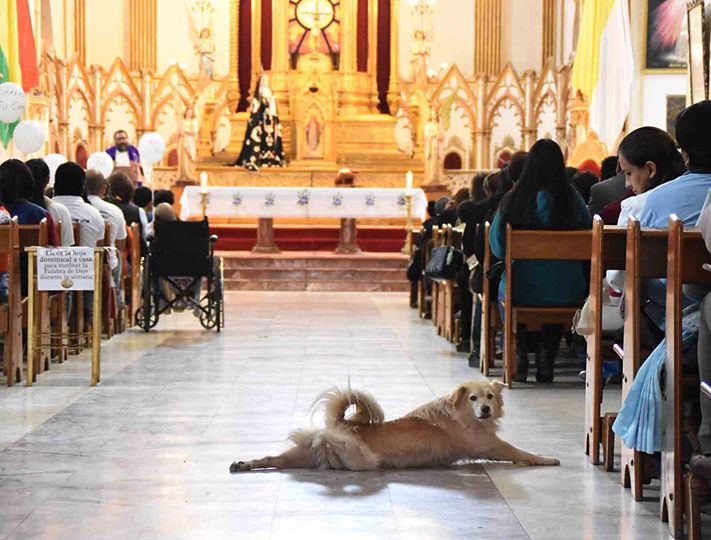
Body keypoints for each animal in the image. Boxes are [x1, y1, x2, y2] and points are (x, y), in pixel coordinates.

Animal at [231, 380, 560, 472]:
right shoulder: (490, 445)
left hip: (302, 455)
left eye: (490, 396)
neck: (462, 415)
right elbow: (521, 452)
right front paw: (544, 458)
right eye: (474, 398)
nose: (486, 409)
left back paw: (244, 464)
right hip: (359, 458)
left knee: (274, 459)